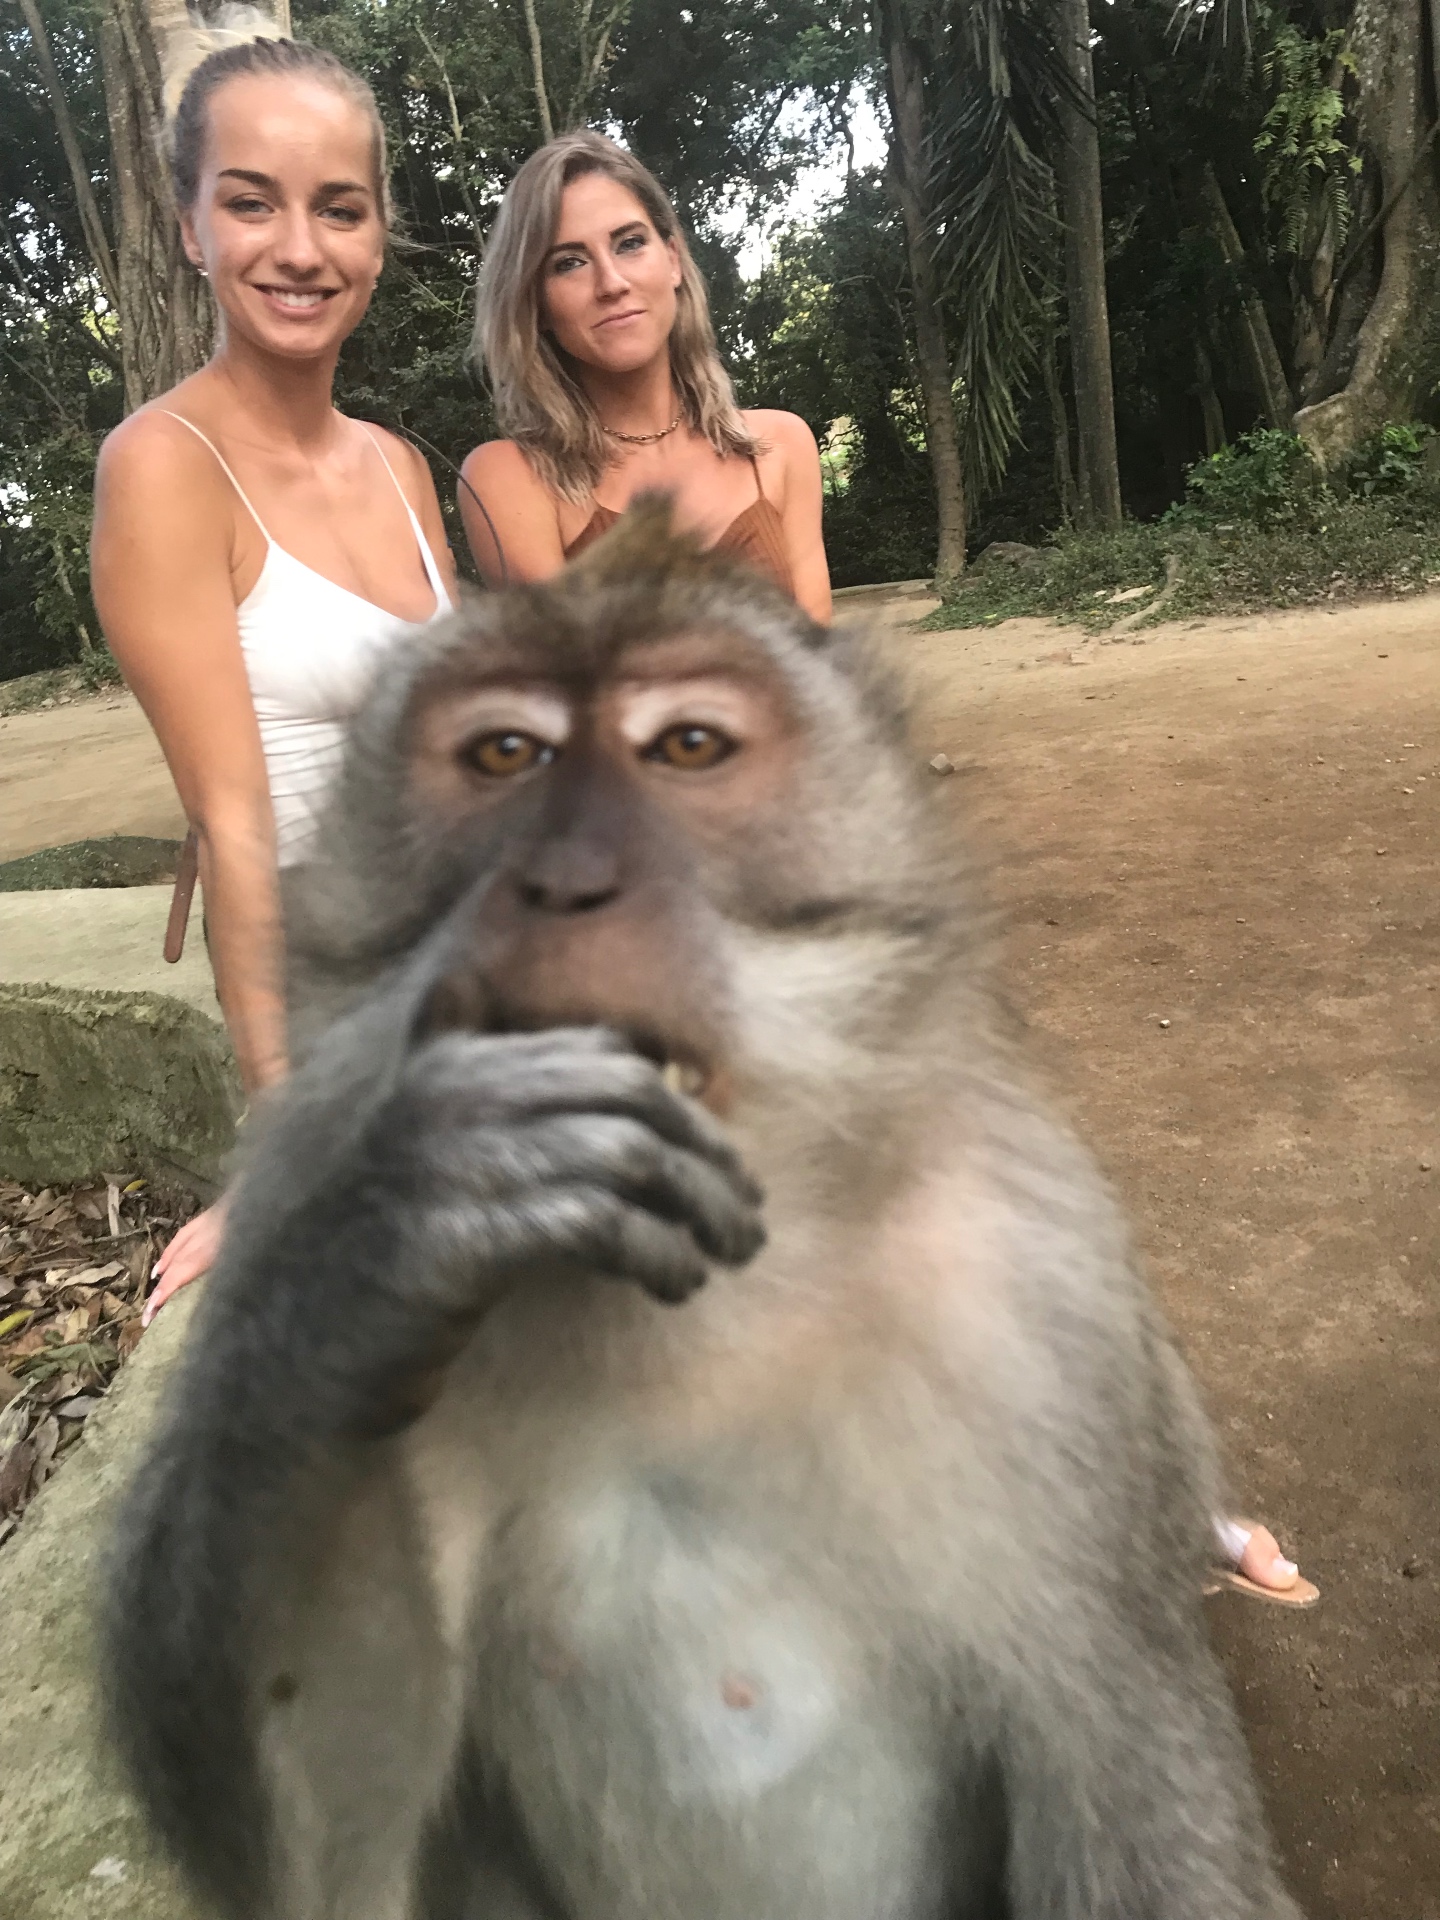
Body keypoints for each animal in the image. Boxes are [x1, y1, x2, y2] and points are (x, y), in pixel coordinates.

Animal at [105, 500, 1302, 1920]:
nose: (564, 880)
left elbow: (1124, 1771)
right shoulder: (296, 1175)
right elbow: (316, 1858)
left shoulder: (1038, 1297)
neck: (688, 1301)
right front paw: (399, 1237)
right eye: (505, 752)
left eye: (686, 746)